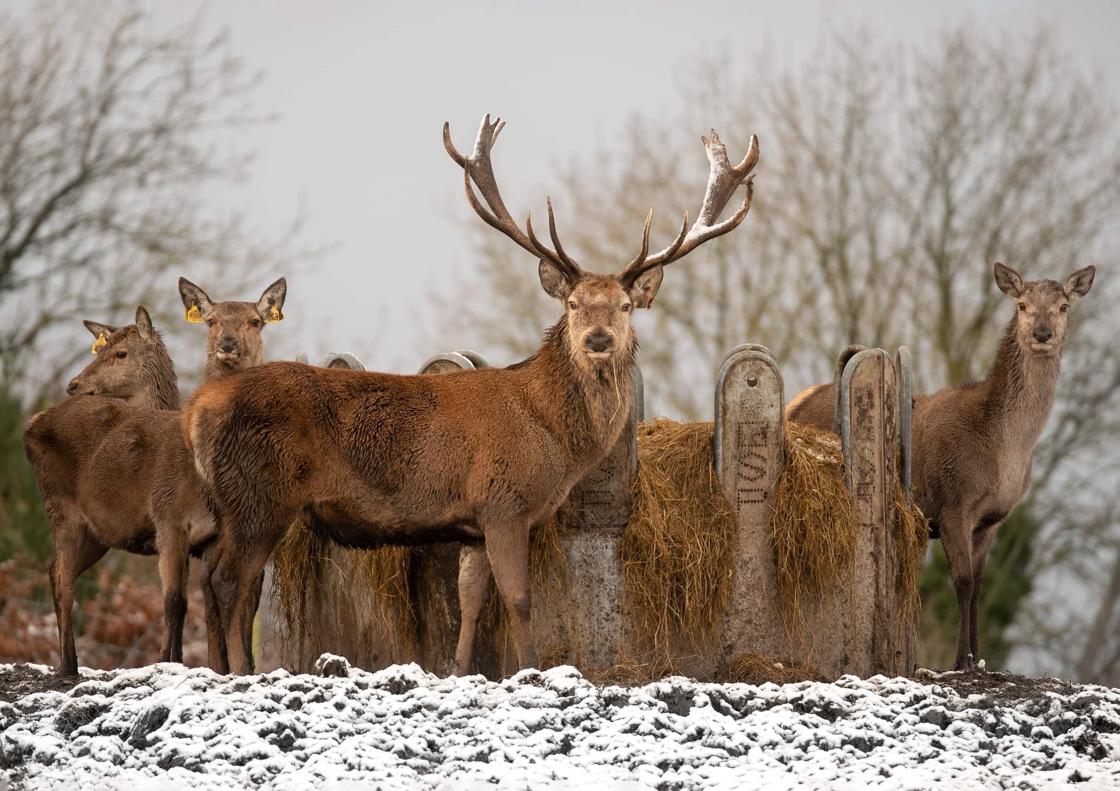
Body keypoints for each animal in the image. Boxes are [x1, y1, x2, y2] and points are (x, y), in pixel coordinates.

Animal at [23, 278, 286, 676]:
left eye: (256, 321)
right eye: (210, 320)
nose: (74, 384)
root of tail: (31, 425)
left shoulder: (212, 538)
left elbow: (211, 601)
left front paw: (220, 666)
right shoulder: (168, 521)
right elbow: (175, 600)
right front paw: (169, 661)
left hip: (97, 532)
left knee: (56, 570)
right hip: (61, 508)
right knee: (62, 576)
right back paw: (68, 665)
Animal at [182, 114, 759, 675]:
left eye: (624, 306)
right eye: (573, 304)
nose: (598, 339)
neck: (551, 434)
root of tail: (195, 411)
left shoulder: (476, 522)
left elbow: (472, 599)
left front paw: (460, 670)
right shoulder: (504, 501)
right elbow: (520, 599)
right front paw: (531, 671)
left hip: (235, 503)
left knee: (213, 579)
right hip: (260, 495)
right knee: (228, 583)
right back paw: (239, 673)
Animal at [784, 262, 1096, 670]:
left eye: (1063, 306)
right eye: (1023, 305)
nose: (1042, 333)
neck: (1005, 453)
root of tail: (794, 404)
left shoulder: (991, 519)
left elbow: (979, 585)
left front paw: (980, 658)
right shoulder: (952, 503)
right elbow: (961, 581)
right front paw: (961, 660)